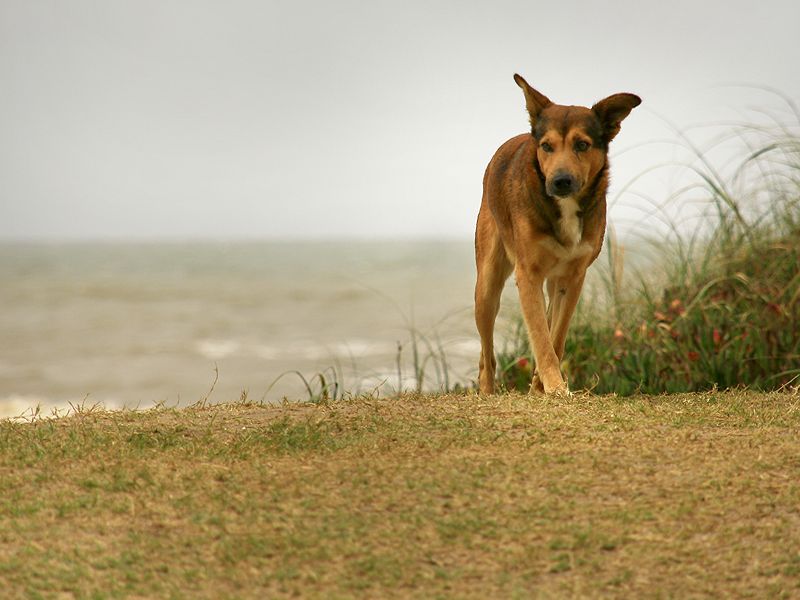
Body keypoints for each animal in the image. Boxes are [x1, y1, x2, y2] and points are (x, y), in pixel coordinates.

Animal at [472, 74, 640, 394]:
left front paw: (543, 384)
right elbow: (540, 336)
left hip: (550, 284)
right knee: (486, 356)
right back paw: (487, 390)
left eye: (582, 144)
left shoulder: (573, 278)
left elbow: (556, 336)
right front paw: (554, 386)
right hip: (487, 286)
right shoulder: (527, 275)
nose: (560, 181)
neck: (564, 207)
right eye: (547, 146)